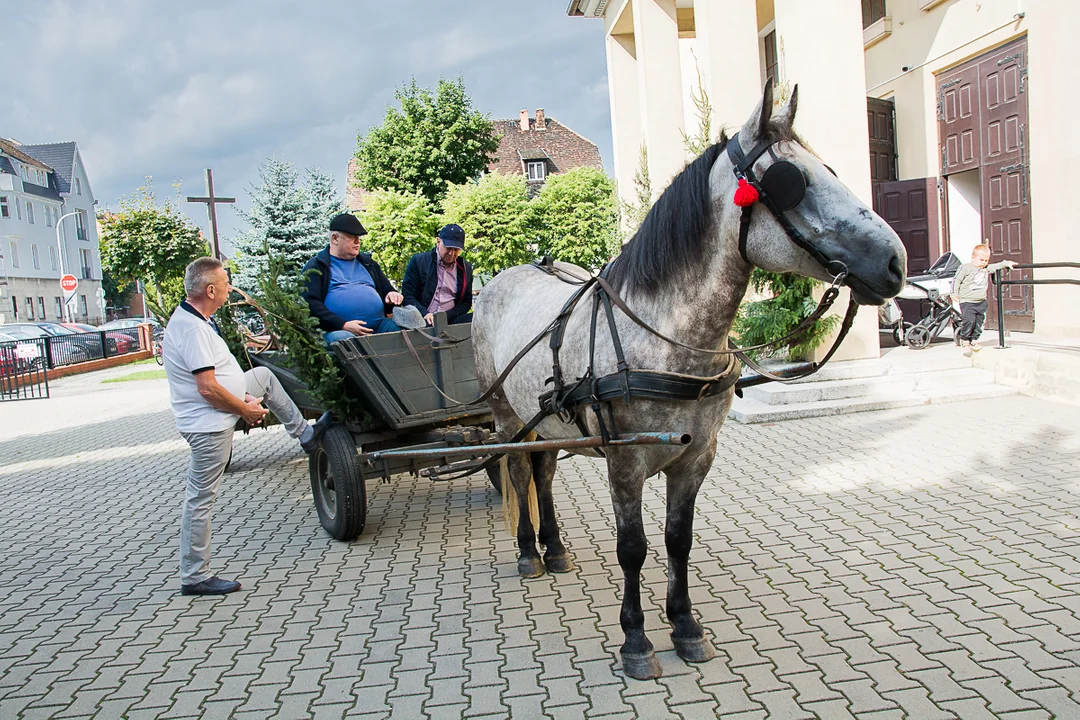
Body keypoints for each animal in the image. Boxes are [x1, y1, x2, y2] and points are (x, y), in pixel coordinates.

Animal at [477, 81, 907, 677]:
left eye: (830, 170)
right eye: (792, 182)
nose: (895, 262)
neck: (667, 336)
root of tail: (503, 276)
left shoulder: (698, 455)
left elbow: (677, 540)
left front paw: (683, 626)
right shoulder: (625, 461)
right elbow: (633, 548)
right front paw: (636, 639)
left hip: (546, 422)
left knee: (543, 474)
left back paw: (554, 549)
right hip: (505, 415)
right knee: (518, 474)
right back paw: (525, 553)